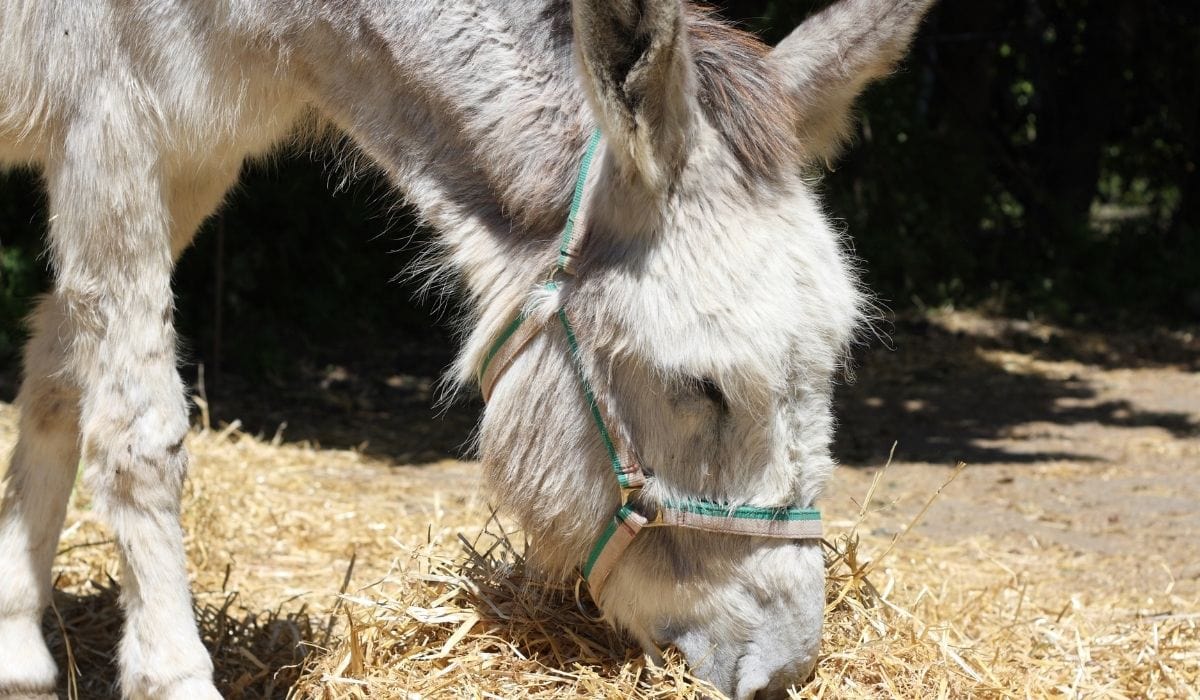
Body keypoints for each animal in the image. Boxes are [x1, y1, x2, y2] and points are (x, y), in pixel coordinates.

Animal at [0, 1, 934, 697]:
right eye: (701, 387)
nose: (786, 671)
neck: (279, 23)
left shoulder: (191, 154)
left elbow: (56, 388)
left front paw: (16, 649)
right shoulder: (111, 125)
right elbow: (140, 439)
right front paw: (170, 676)